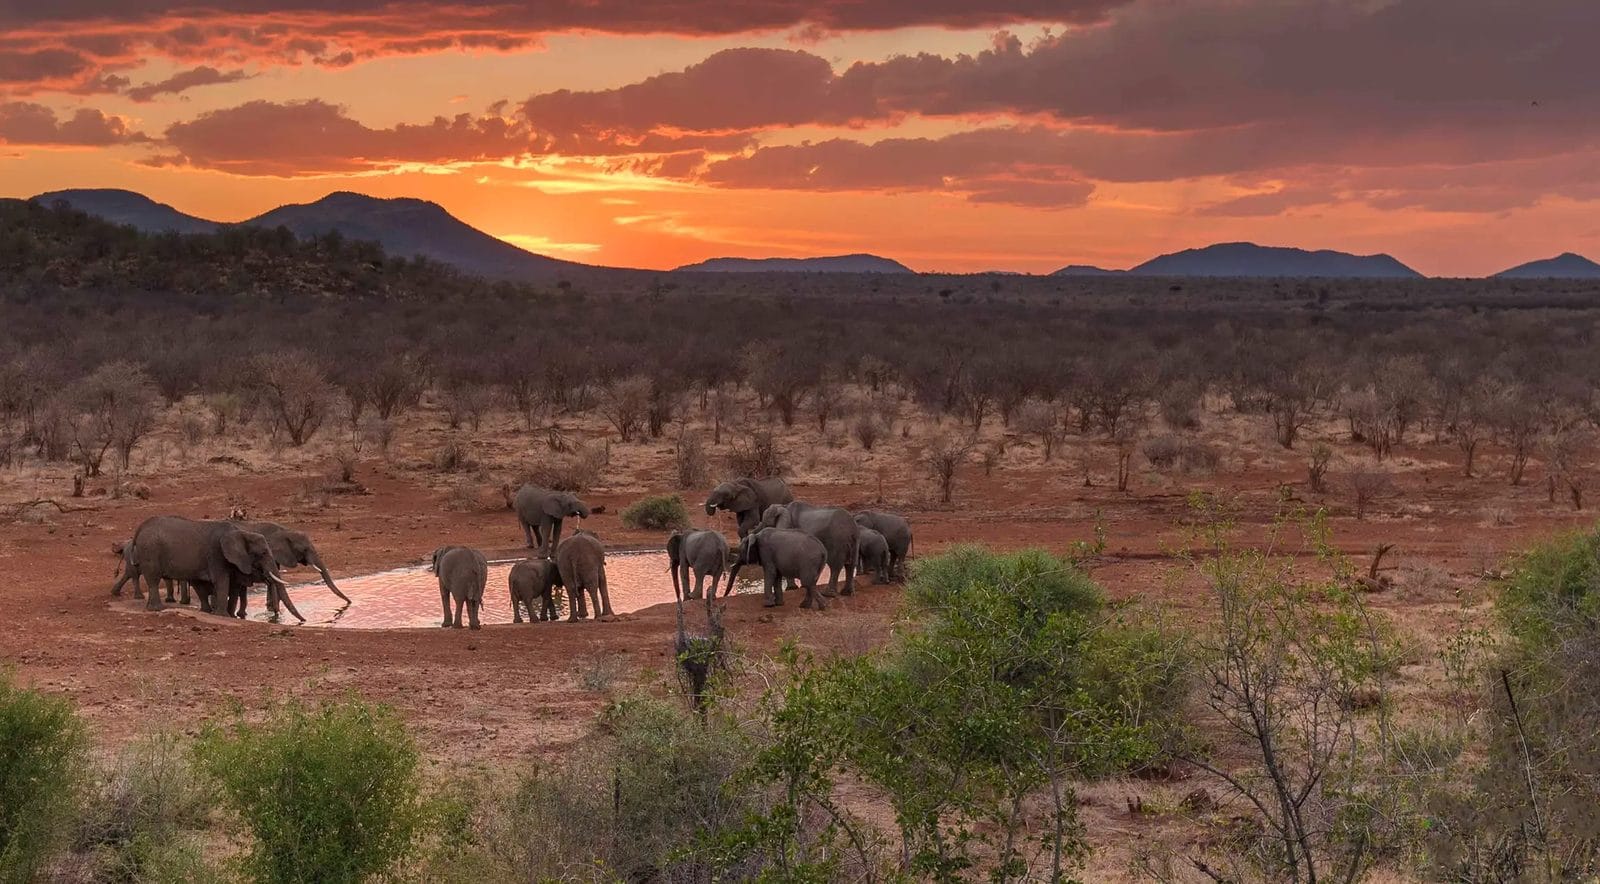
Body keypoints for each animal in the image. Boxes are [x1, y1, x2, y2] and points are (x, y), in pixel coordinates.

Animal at [122, 516, 296, 619]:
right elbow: (222, 582)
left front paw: (223, 615)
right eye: (263, 553)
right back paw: (157, 608)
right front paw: (223, 616)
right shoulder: (216, 554)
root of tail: (139, 529)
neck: (241, 533)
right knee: (153, 580)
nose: (275, 616)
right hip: (150, 552)